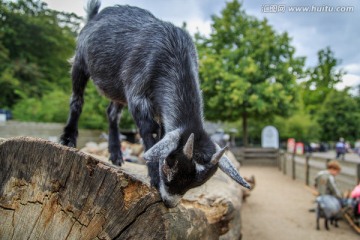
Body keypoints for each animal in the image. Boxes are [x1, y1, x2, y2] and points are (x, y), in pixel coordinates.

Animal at [59, 0, 250, 207]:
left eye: (196, 184)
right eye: (170, 165)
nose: (169, 203)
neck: (173, 54)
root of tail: (94, 16)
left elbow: (161, 132)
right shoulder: (137, 93)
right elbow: (150, 130)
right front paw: (154, 177)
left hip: (119, 90)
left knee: (112, 113)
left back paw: (116, 154)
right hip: (80, 61)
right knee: (77, 99)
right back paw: (68, 138)